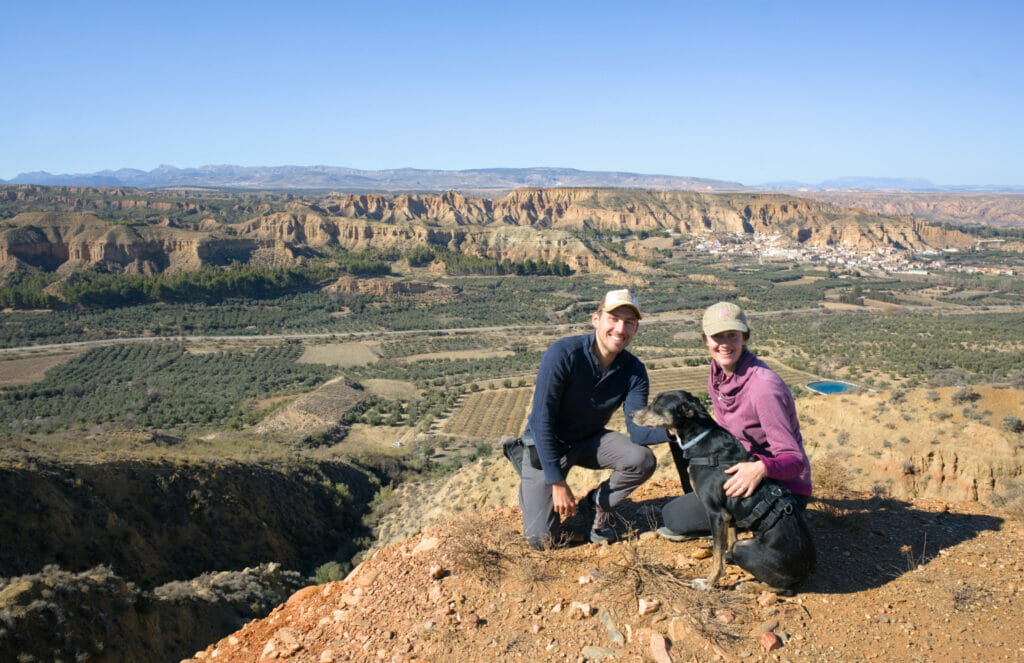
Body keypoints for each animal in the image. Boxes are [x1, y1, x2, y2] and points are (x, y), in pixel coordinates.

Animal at [630, 389, 815, 590]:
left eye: (656, 404)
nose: (631, 414)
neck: (699, 438)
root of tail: (806, 572)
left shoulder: (717, 514)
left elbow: (717, 557)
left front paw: (709, 583)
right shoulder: (730, 515)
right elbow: (728, 541)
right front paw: (728, 561)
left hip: (744, 549)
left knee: (783, 589)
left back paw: (749, 586)